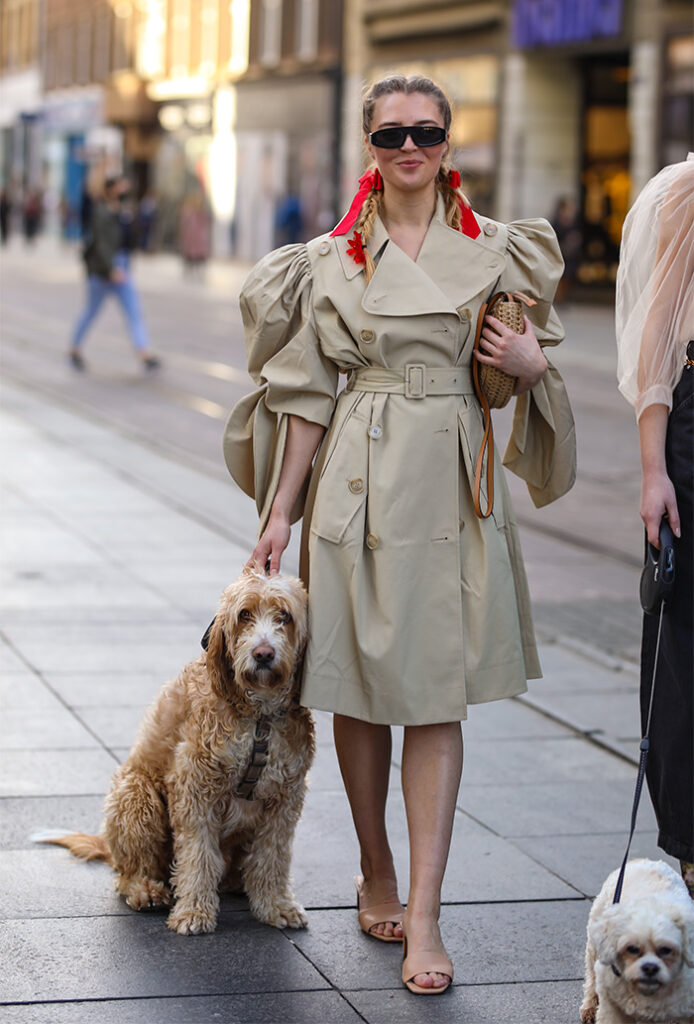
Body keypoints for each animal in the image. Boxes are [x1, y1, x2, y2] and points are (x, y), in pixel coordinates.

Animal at [39, 569, 317, 937]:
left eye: (284, 616)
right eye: (244, 615)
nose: (263, 654)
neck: (259, 717)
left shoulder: (285, 797)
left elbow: (273, 856)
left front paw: (276, 905)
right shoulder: (195, 788)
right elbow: (198, 856)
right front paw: (194, 912)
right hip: (134, 795)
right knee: (131, 870)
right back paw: (146, 889)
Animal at [581, 860, 694, 1019]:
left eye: (666, 950)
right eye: (632, 949)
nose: (650, 967)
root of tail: (643, 860)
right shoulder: (612, 1002)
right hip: (594, 948)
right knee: (591, 977)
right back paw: (590, 1005)